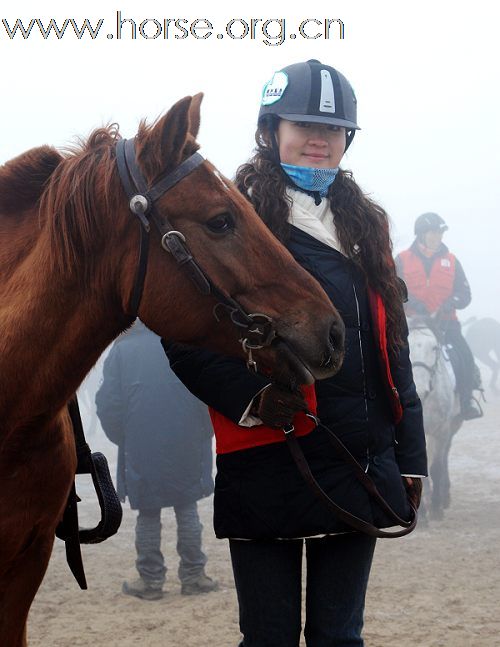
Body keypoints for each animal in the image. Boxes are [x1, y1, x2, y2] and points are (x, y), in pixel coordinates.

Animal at [408, 318, 462, 520]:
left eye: (433, 347)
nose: (420, 389)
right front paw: (422, 515)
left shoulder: (441, 430)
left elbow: (437, 466)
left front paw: (436, 508)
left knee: (444, 456)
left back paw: (443, 497)